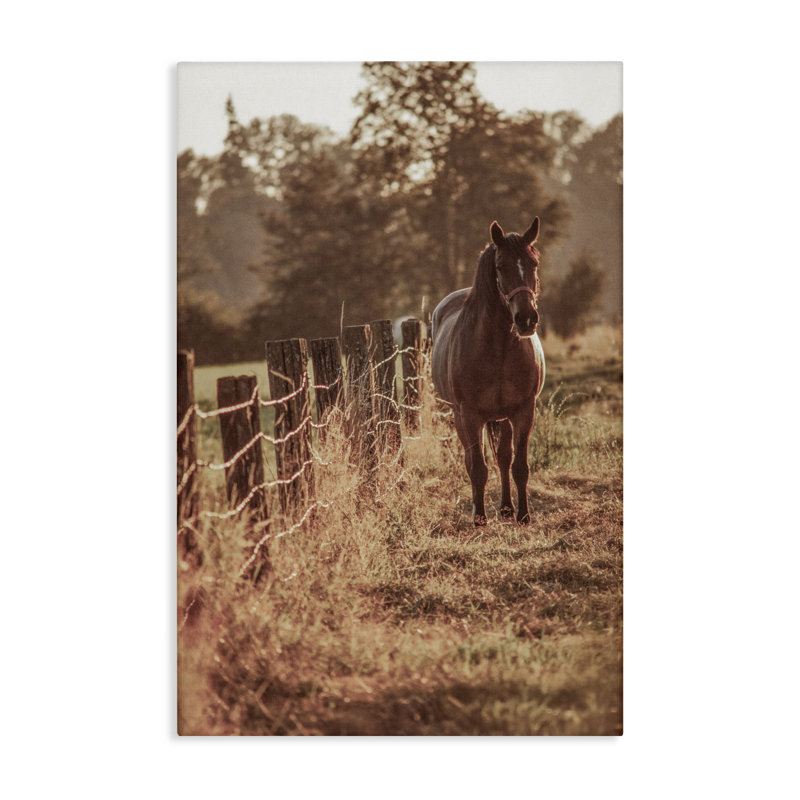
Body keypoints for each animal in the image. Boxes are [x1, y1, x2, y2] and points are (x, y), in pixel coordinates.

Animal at [431, 217, 545, 526]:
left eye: (533, 264)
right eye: (501, 267)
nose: (526, 319)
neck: (499, 349)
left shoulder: (523, 411)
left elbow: (519, 465)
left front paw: (524, 515)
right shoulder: (470, 415)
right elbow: (478, 468)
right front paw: (480, 518)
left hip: (501, 417)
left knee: (503, 459)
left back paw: (506, 508)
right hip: (460, 416)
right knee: (473, 462)